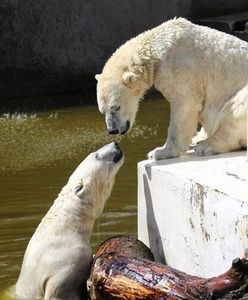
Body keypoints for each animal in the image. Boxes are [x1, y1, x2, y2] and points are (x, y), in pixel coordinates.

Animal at [95, 17, 248, 159]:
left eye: (116, 107)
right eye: (102, 110)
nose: (112, 130)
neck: (157, 48)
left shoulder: (181, 68)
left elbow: (185, 105)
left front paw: (160, 152)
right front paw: (197, 137)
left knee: (235, 108)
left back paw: (206, 146)